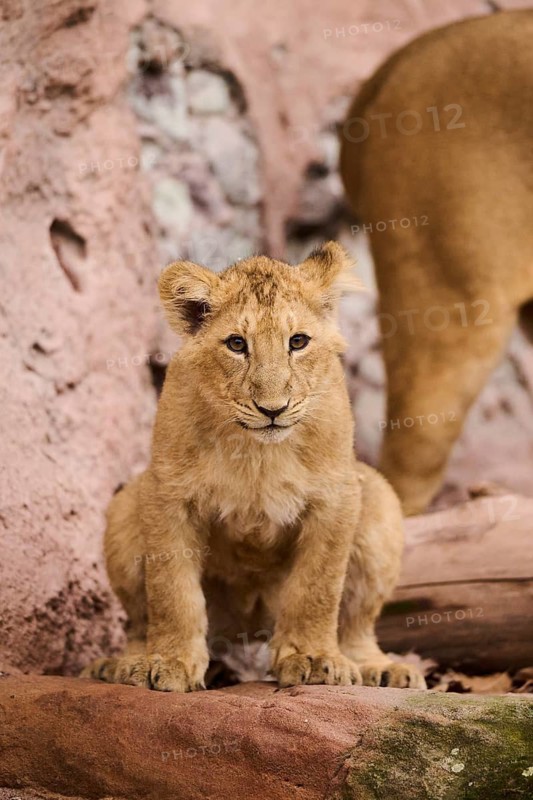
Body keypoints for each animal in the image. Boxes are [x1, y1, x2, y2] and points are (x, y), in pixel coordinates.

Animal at [82, 242, 426, 692]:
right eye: (236, 344)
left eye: (297, 341)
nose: (272, 409)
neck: (257, 454)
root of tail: (247, 627)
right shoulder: (167, 493)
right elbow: (171, 590)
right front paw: (170, 661)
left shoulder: (336, 495)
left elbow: (318, 587)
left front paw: (311, 657)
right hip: (125, 506)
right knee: (140, 623)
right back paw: (121, 665)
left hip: (380, 502)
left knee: (356, 625)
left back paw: (381, 669)